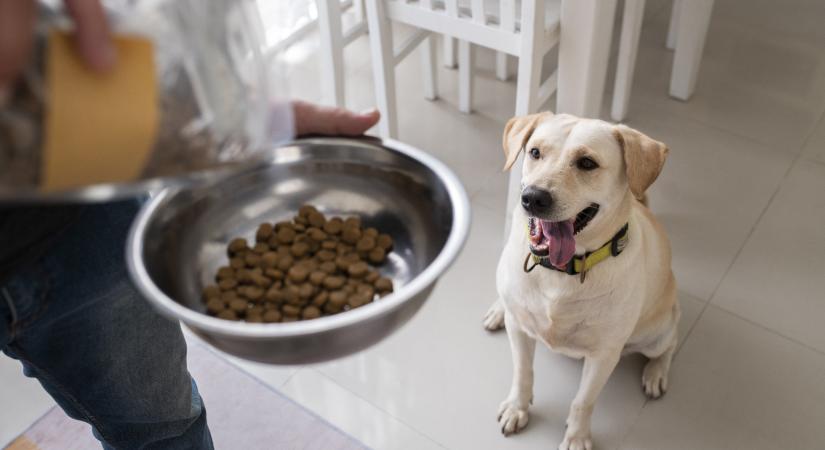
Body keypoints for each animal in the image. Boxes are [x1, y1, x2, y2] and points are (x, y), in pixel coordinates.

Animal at [482, 112, 676, 450]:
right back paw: (498, 309)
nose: (533, 197)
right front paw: (517, 407)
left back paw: (656, 373)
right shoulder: (519, 330)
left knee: (670, 344)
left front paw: (577, 436)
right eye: (535, 152)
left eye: (587, 163)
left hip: (655, 334)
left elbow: (583, 401)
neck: (559, 272)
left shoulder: (604, 355)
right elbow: (522, 372)